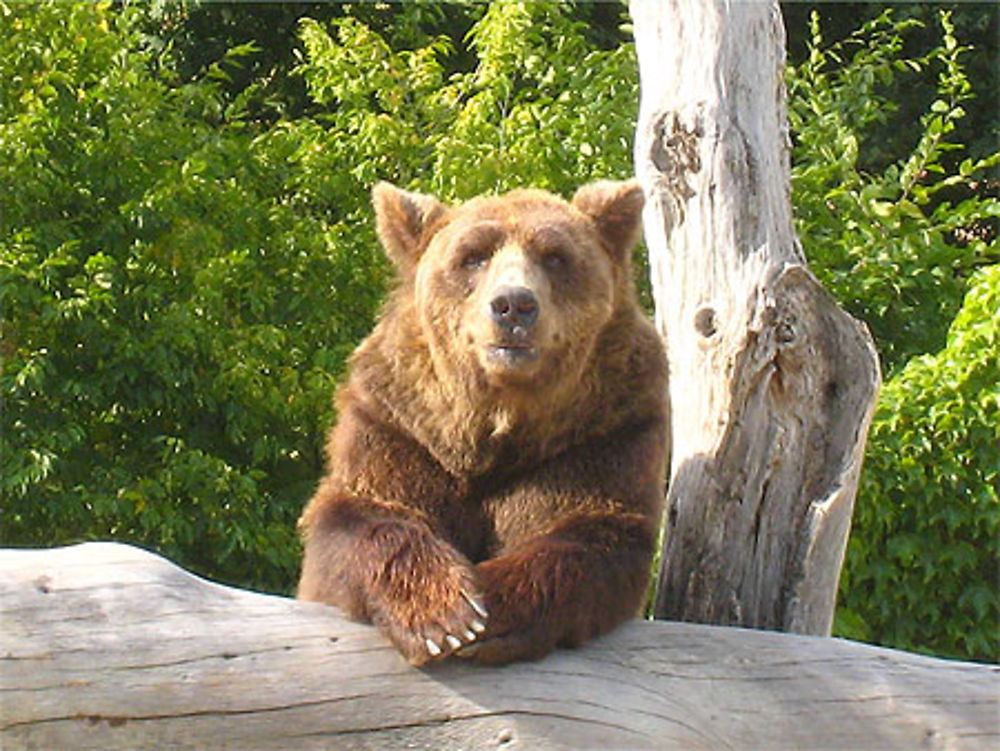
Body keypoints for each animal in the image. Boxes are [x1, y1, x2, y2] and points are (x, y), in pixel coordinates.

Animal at [298, 179, 672, 668]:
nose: (513, 304)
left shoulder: (602, 434)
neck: (494, 423)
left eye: (555, 256)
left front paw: (490, 609)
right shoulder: (401, 427)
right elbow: (359, 510)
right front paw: (444, 615)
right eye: (473, 255)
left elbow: (590, 529)